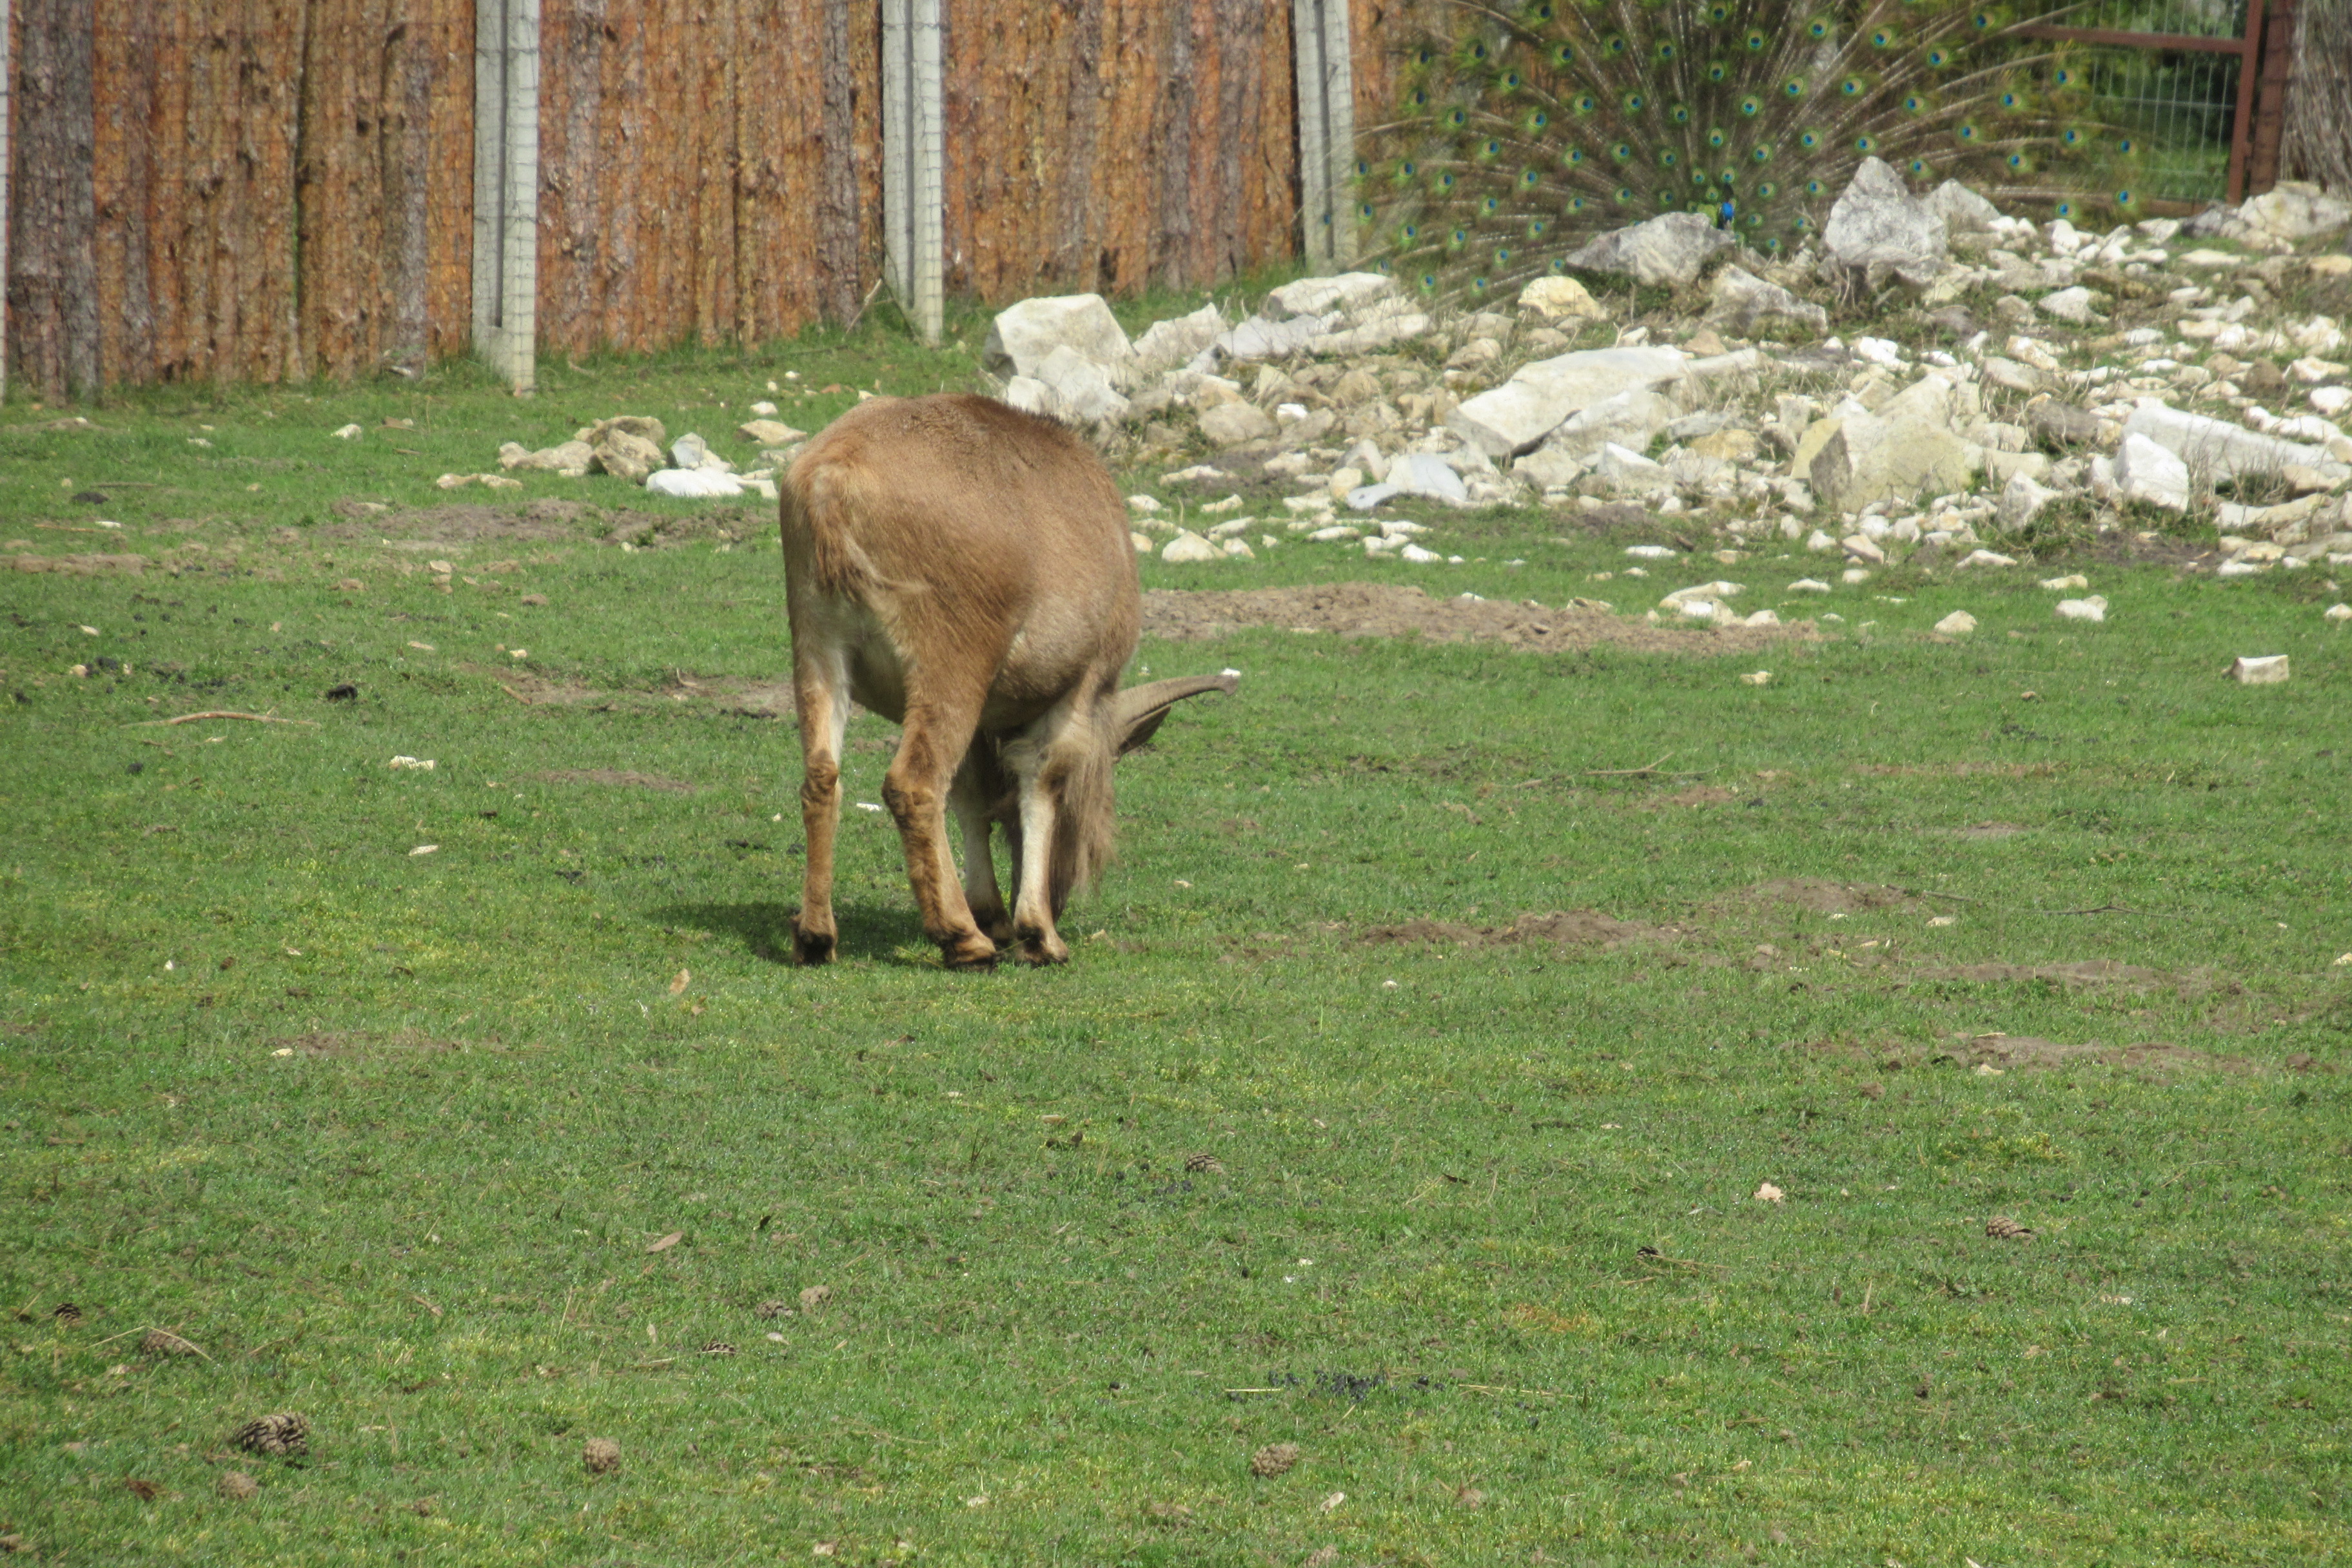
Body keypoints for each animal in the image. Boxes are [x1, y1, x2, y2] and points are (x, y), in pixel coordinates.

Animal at [779, 392, 1234, 970]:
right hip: (950, 663)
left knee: (822, 776)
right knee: (915, 784)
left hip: (817, 645)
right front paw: (1037, 933)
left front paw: (994, 914)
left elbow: (973, 794)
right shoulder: (1080, 687)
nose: (1061, 897)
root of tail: (831, 483)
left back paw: (816, 935)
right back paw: (961, 938)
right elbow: (1041, 777)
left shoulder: (986, 716)